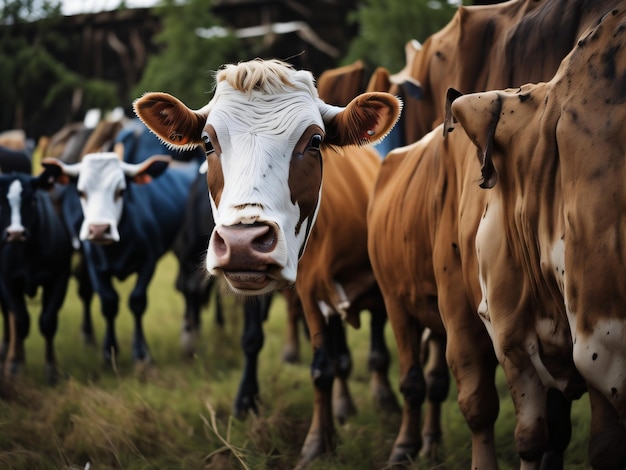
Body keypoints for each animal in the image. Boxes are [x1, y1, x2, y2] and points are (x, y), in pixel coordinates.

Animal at [0, 167, 73, 384]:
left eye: (32, 200)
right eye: (2, 200)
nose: (16, 233)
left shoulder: (59, 279)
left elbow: (47, 322)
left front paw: (52, 372)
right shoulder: (8, 282)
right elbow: (21, 321)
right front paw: (14, 367)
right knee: (8, 315)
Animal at [42, 152, 197, 366]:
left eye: (121, 191)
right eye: (81, 192)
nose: (99, 229)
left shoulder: (148, 262)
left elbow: (137, 302)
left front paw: (142, 355)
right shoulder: (95, 266)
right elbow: (108, 303)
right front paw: (109, 353)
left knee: (188, 287)